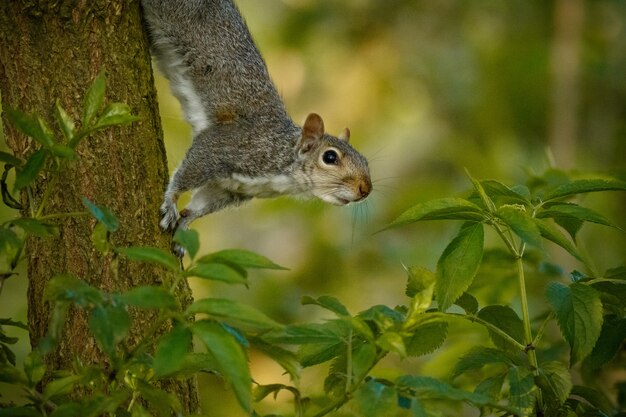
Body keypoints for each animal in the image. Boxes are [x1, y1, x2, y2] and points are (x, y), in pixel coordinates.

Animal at [140, 0, 370, 237]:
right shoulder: (228, 146)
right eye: (330, 157)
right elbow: (191, 169)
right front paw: (171, 202)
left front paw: (186, 221)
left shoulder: (229, 189)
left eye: (365, 161)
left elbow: (203, 202)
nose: (365, 189)